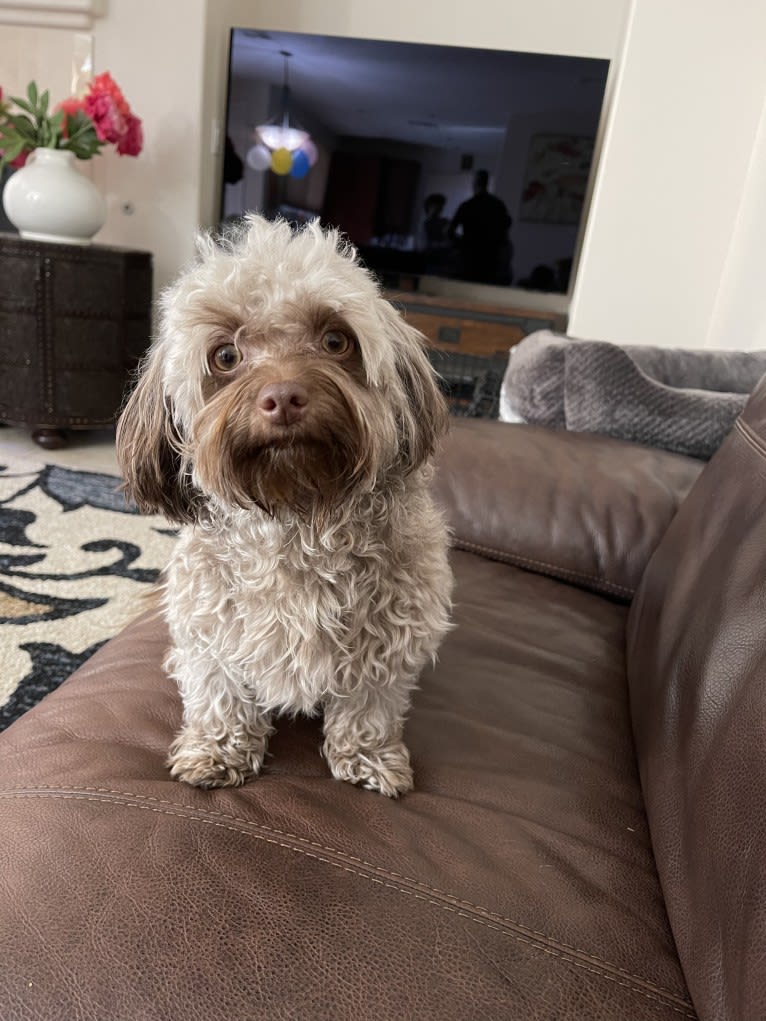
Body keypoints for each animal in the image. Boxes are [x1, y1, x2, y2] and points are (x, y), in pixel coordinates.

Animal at [115, 217, 455, 796]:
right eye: (225, 355)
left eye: (336, 340)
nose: (284, 397)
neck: (297, 517)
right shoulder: (211, 633)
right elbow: (221, 696)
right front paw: (217, 751)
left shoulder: (390, 641)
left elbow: (369, 705)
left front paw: (368, 757)